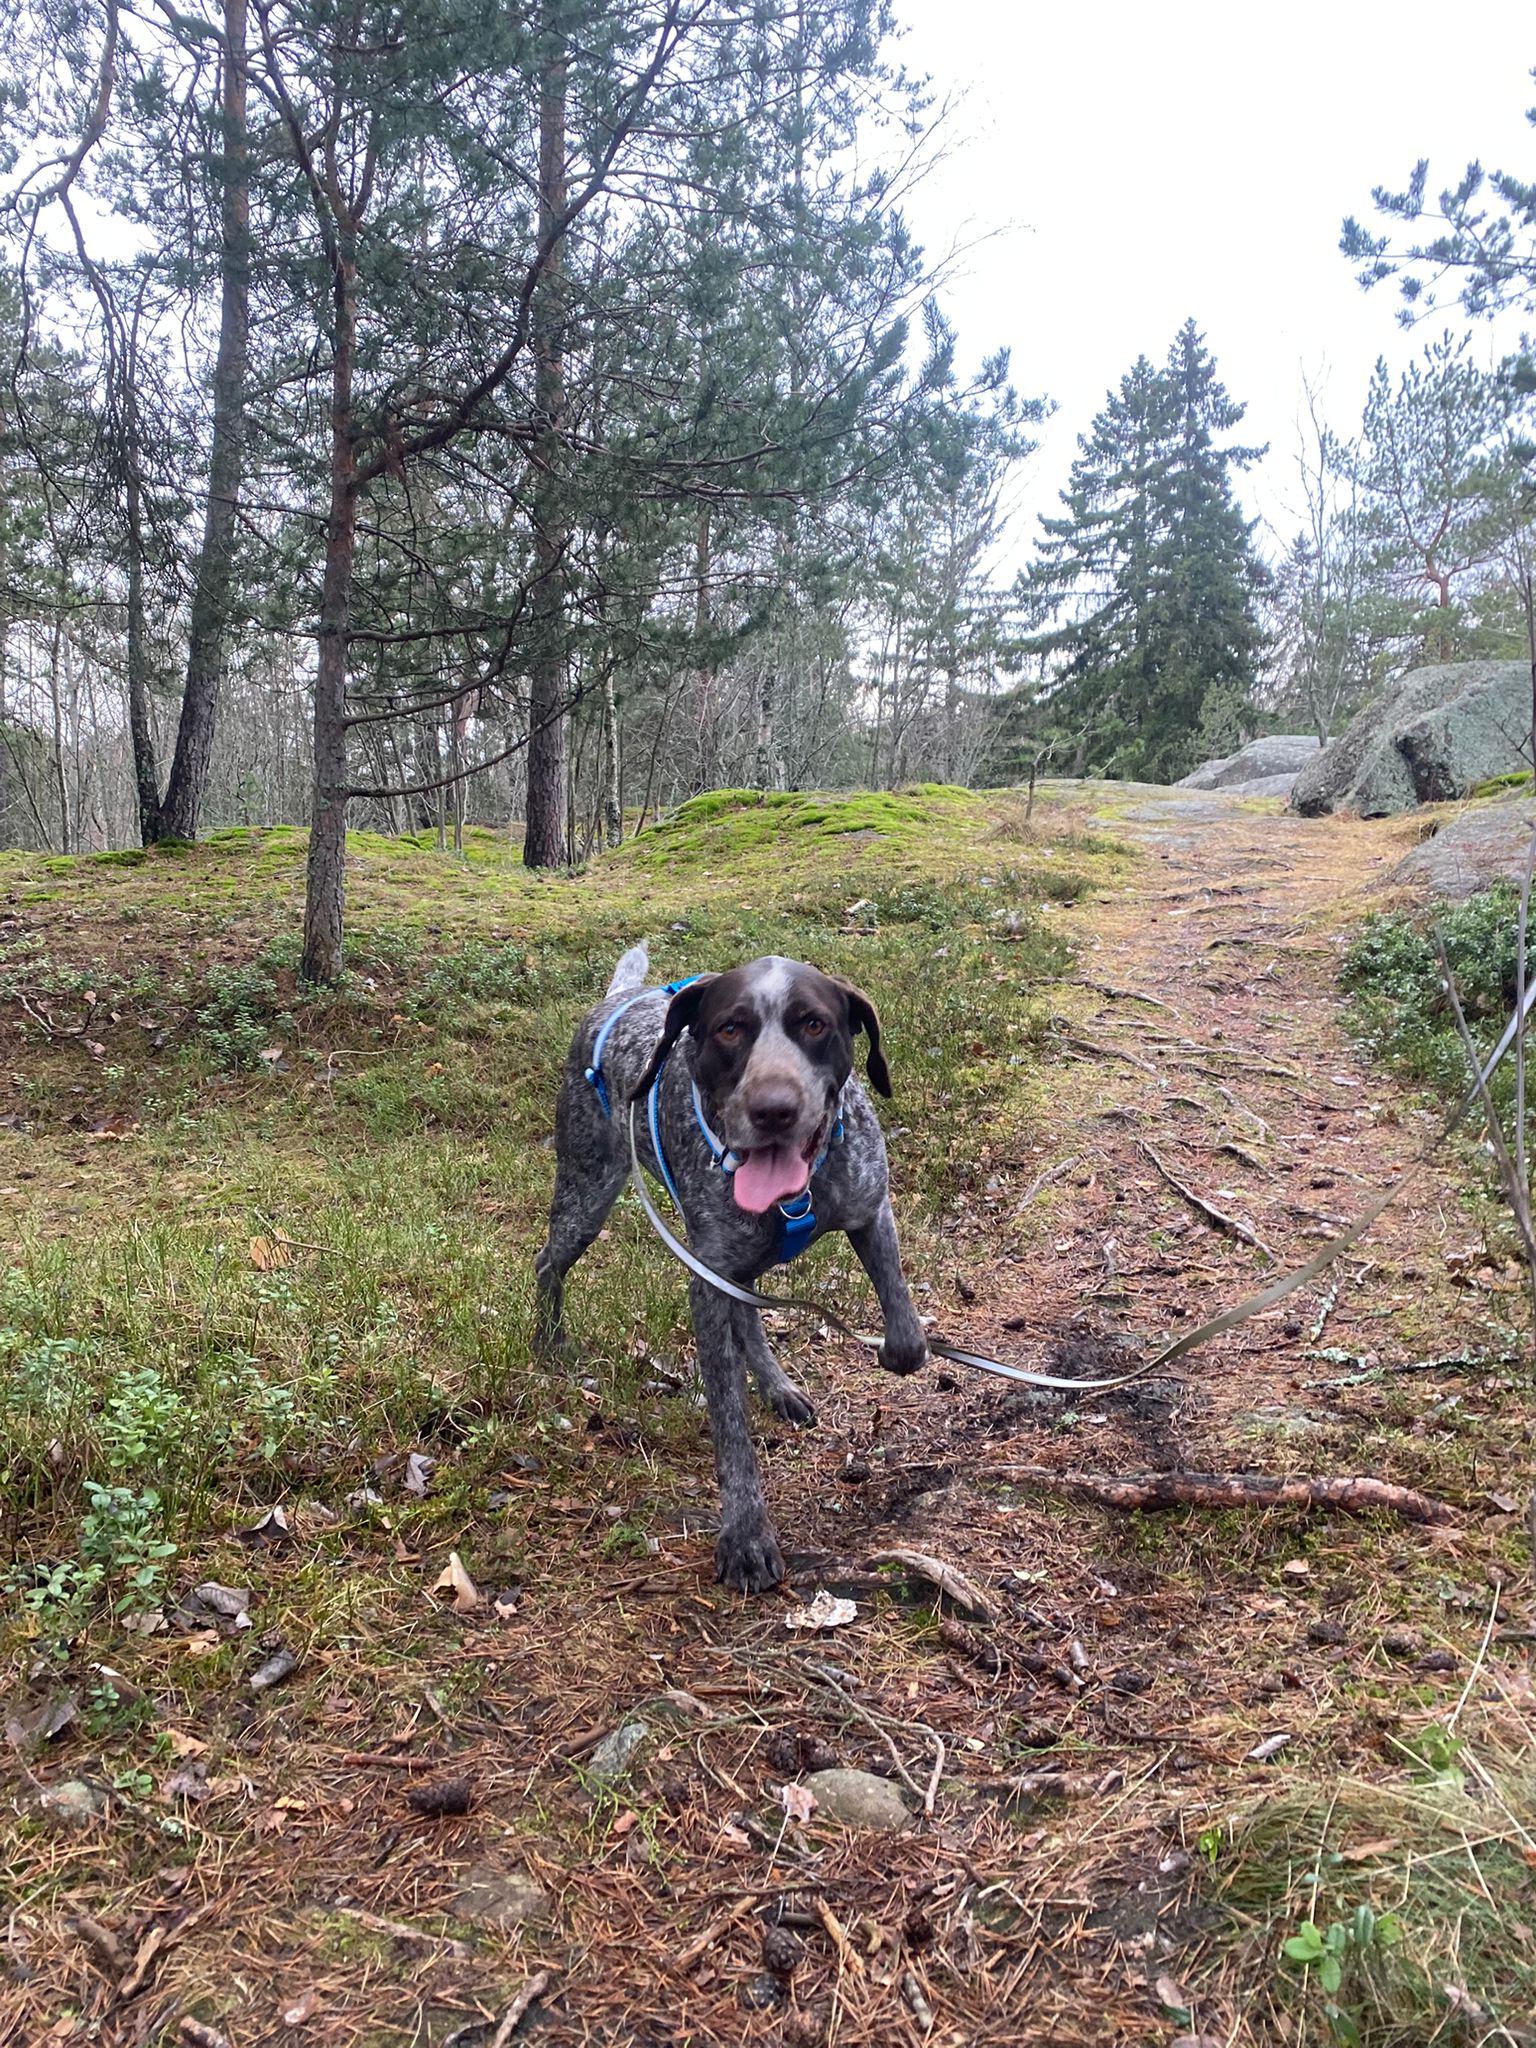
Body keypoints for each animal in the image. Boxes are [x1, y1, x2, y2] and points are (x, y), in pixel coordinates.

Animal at [535, 944, 929, 1592]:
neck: (797, 1195)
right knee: (548, 1262)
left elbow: (902, 1322)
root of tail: (616, 998)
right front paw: (746, 1535)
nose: (773, 1110)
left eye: (814, 1024)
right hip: (585, 1196)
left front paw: (898, 1349)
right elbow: (730, 1427)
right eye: (729, 1029)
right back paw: (548, 1341)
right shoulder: (708, 1283)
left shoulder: (869, 1209)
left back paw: (778, 1387)